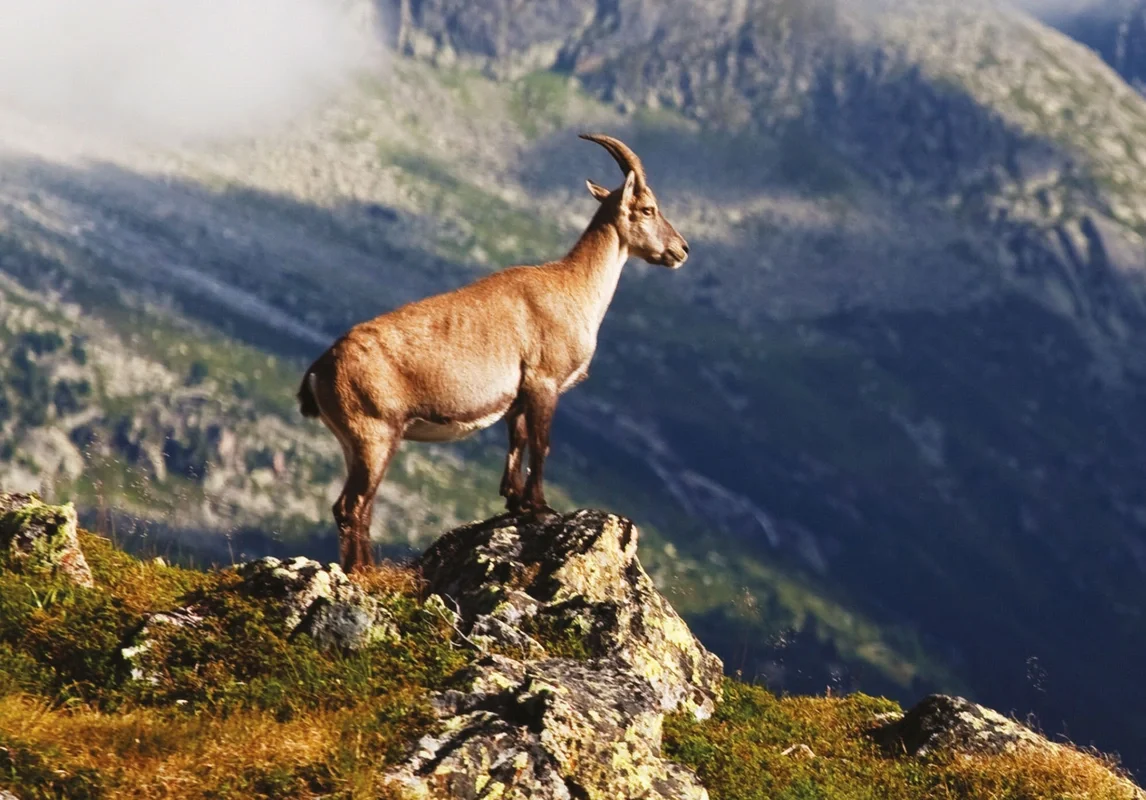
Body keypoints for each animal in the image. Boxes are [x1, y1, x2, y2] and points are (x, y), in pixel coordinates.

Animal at [297, 134, 687, 570]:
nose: (681, 249)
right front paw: (540, 507)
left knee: (356, 507)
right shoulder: (544, 383)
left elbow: (516, 443)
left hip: (355, 444)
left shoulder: (517, 397)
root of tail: (319, 370)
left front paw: (516, 503)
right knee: (353, 506)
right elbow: (541, 444)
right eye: (648, 208)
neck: (573, 288)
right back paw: (364, 571)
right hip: (375, 435)